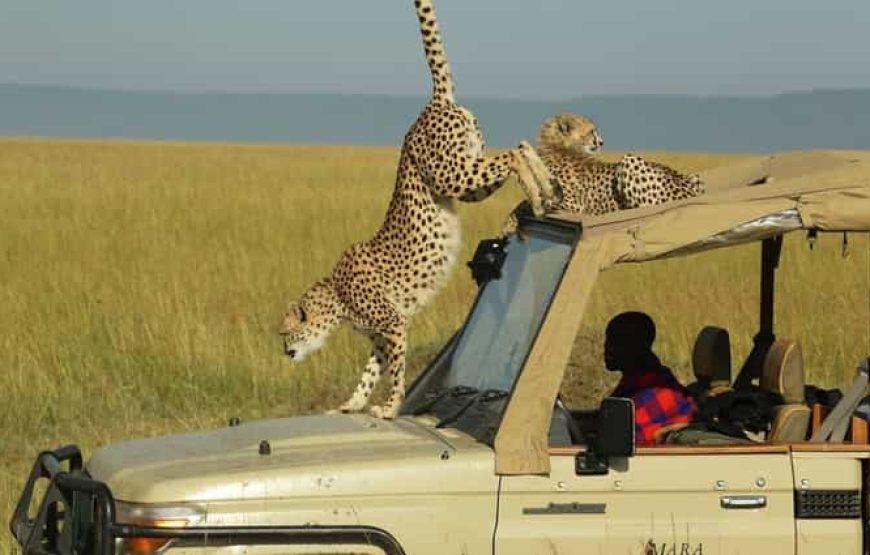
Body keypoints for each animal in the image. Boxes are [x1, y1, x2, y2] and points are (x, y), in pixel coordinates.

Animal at [280, 0, 552, 420]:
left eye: (285, 332)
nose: (284, 352)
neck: (336, 297)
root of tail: (432, 104)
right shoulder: (381, 334)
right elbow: (369, 373)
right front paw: (352, 404)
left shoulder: (392, 325)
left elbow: (395, 371)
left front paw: (389, 407)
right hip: (468, 176)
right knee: (521, 145)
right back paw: (547, 188)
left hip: (453, 175)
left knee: (514, 153)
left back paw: (540, 194)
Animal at [508, 113, 704, 235]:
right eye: (591, 132)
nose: (602, 142)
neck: (558, 145)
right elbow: (525, 202)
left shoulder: (573, 205)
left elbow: (529, 202)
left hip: (629, 160)